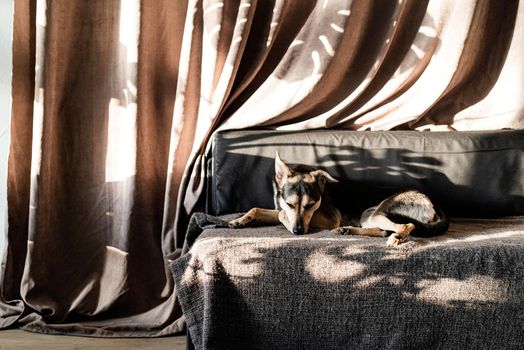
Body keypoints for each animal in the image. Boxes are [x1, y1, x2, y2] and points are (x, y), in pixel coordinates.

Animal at [227, 153, 448, 246]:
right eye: (291, 203)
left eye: (310, 205)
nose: (298, 232)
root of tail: (433, 203)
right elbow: (258, 209)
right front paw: (239, 220)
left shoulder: (328, 219)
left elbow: (281, 215)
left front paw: (287, 224)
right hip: (368, 215)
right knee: (382, 230)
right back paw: (347, 230)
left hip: (378, 212)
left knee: (405, 226)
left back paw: (399, 237)